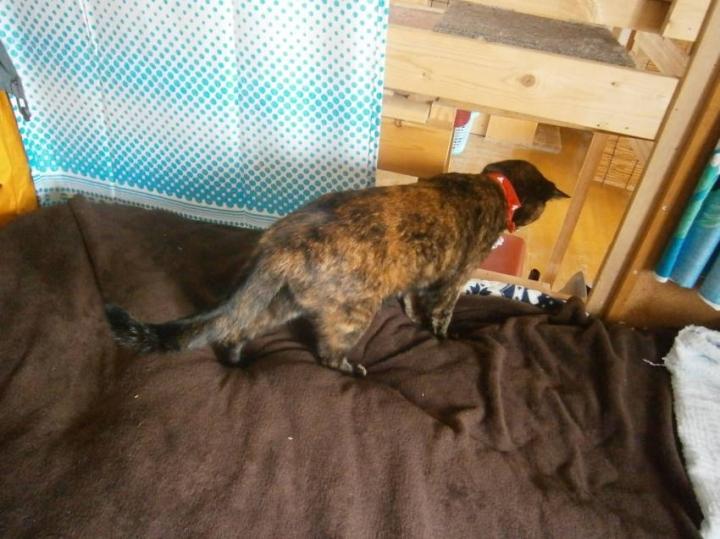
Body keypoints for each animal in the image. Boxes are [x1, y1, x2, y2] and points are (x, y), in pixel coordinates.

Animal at [105, 159, 568, 376]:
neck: (495, 186)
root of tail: (279, 241)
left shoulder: (417, 278)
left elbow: (411, 300)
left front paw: (411, 317)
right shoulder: (453, 279)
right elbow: (441, 316)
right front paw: (445, 338)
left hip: (284, 302)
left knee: (236, 330)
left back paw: (238, 362)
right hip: (354, 310)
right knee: (327, 354)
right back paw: (352, 370)